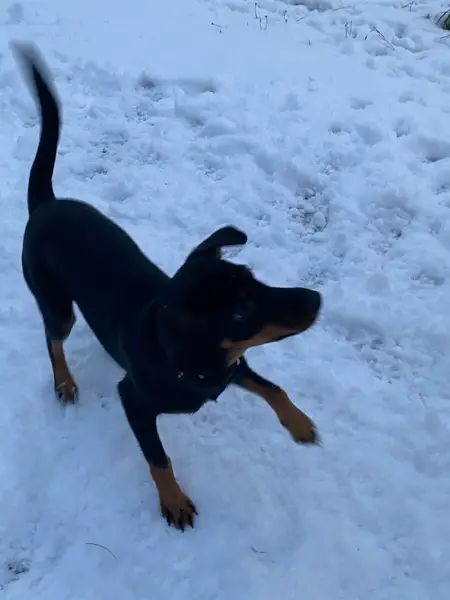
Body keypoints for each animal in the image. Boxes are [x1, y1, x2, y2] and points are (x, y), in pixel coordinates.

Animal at [13, 43, 322, 531]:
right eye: (241, 310)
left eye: (255, 279)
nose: (315, 298)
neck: (195, 363)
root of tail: (46, 204)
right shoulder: (134, 401)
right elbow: (158, 457)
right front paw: (174, 502)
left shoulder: (233, 367)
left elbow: (274, 387)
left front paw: (300, 424)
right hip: (55, 302)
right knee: (53, 338)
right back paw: (64, 382)